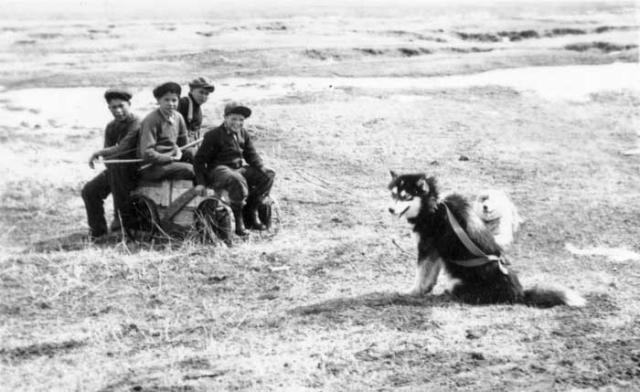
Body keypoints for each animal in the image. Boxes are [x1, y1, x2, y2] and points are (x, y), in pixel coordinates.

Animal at [384, 170, 584, 308]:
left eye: (406, 197)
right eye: (393, 195)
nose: (390, 210)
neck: (434, 207)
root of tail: (519, 294)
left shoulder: (427, 247)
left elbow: (421, 275)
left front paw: (412, 292)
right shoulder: (437, 252)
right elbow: (430, 276)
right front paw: (424, 290)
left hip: (457, 282)